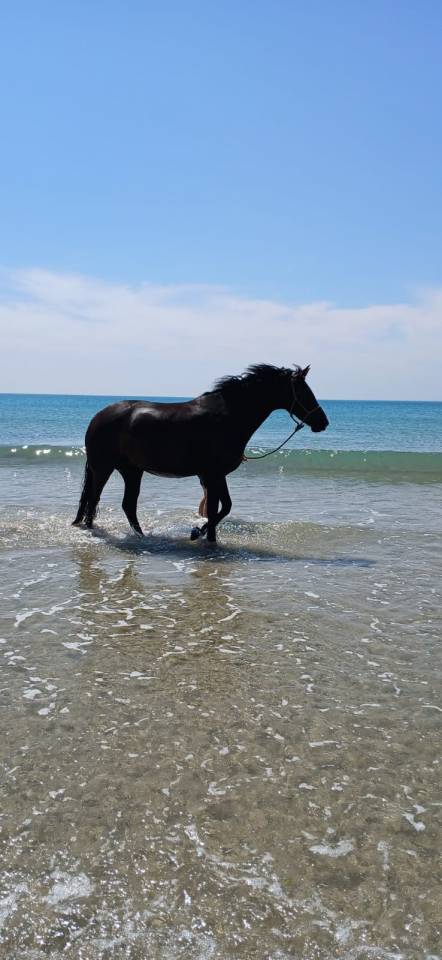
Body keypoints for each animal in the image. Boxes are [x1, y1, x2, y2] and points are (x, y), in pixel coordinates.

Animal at [73, 363, 329, 543]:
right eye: (304, 391)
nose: (323, 422)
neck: (229, 416)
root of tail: (98, 417)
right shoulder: (212, 475)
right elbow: (216, 509)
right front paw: (203, 535)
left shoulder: (215, 475)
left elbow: (223, 507)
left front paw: (201, 533)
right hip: (104, 468)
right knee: (93, 501)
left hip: (132, 471)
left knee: (127, 505)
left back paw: (143, 537)